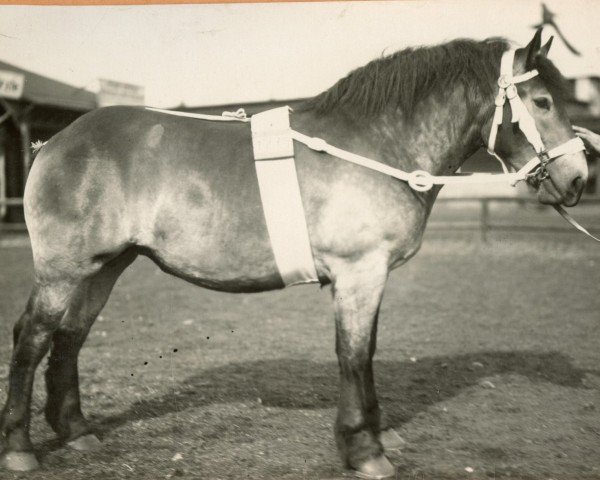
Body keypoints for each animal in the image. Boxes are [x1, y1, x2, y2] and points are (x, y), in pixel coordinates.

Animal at [0, 28, 588, 478]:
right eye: (542, 103)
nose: (579, 178)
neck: (377, 145)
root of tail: (54, 142)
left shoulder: (369, 277)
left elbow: (364, 353)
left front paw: (374, 436)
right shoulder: (359, 273)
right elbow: (355, 355)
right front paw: (365, 450)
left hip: (103, 268)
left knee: (70, 337)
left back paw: (77, 431)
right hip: (63, 271)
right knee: (33, 337)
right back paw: (20, 448)